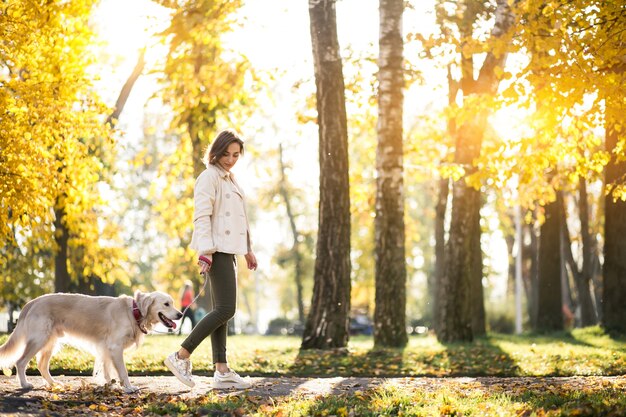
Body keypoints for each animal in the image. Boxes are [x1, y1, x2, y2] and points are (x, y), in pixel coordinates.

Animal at [0, 290, 180, 392]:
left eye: (173, 303)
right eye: (166, 304)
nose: (180, 314)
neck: (133, 312)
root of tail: (32, 301)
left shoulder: (106, 348)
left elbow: (107, 371)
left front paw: (110, 386)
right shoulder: (115, 347)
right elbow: (123, 371)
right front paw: (128, 388)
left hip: (50, 342)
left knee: (42, 365)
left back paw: (53, 383)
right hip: (39, 339)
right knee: (20, 362)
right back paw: (24, 384)